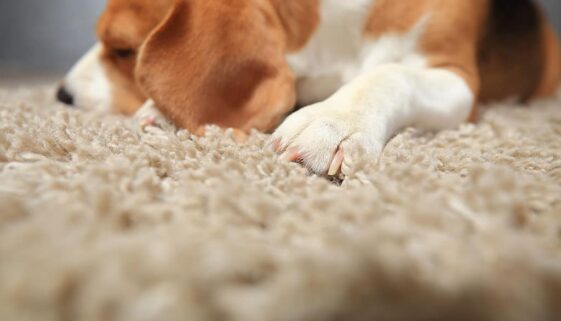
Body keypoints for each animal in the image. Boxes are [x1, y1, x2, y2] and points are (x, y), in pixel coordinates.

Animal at [58, 0, 560, 175]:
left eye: (124, 49)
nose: (61, 95)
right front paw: (164, 112)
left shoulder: (457, 79)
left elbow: (389, 73)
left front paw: (332, 120)